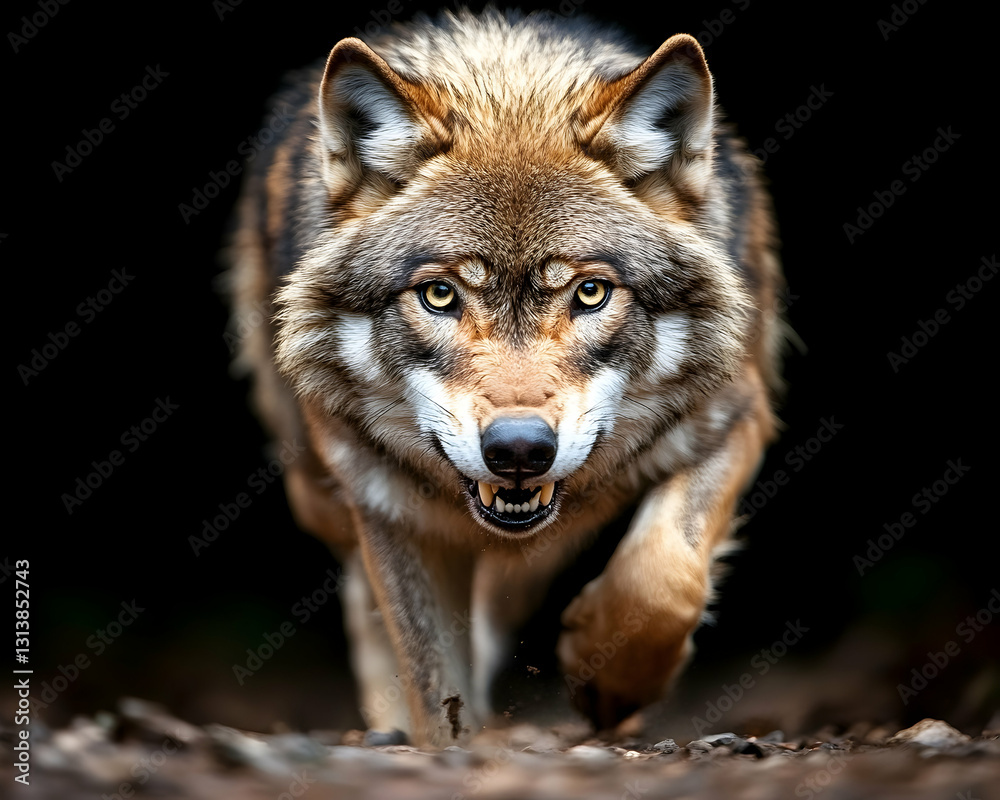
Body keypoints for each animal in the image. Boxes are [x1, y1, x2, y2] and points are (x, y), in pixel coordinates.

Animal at [226, 7, 784, 747]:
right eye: (439, 295)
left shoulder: (732, 416)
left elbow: (662, 574)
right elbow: (432, 681)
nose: (519, 449)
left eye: (589, 293)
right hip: (320, 489)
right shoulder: (388, 507)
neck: (509, 84)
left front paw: (608, 683)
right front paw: (447, 747)